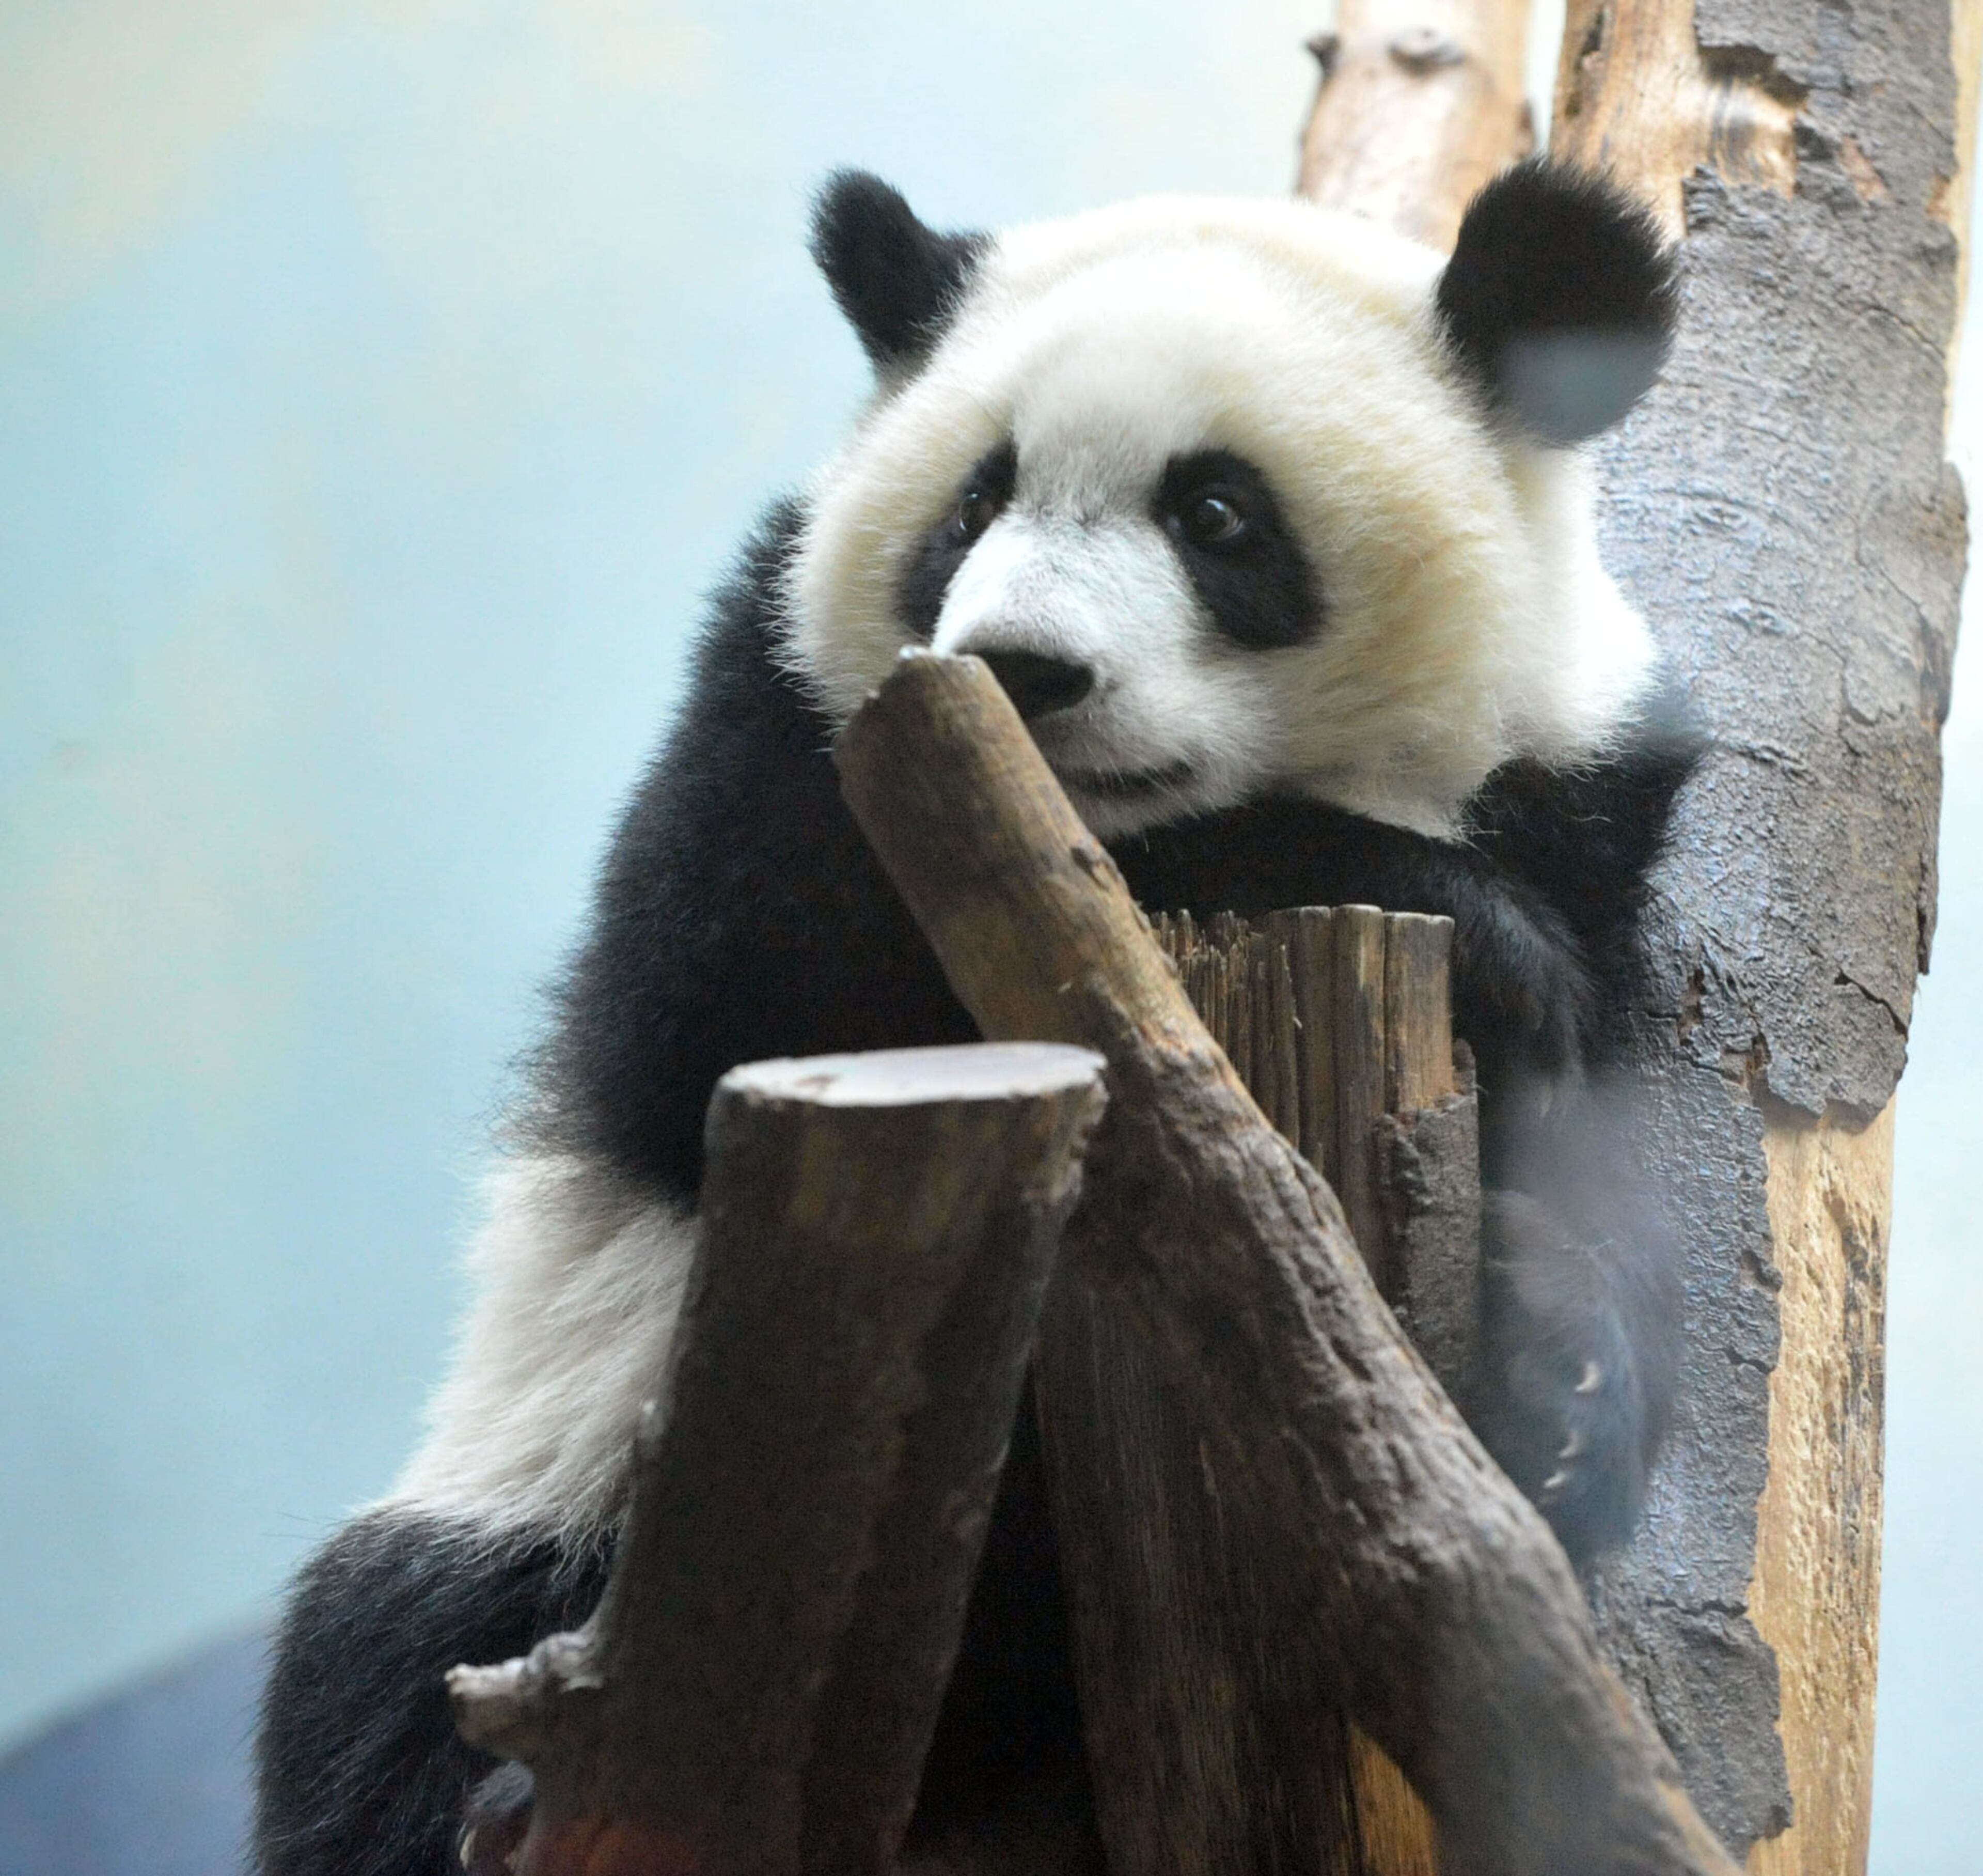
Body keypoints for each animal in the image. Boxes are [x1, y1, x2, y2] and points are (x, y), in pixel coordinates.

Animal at [255, 160, 1694, 1874]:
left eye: (1216, 514)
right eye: (968, 505)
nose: (1022, 669)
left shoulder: (1590, 801)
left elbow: (1605, 1151)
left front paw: (1556, 1368)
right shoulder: (789, 737)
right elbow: (757, 999)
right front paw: (1471, 930)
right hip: (566, 1476)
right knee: (395, 1664)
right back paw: (505, 1800)